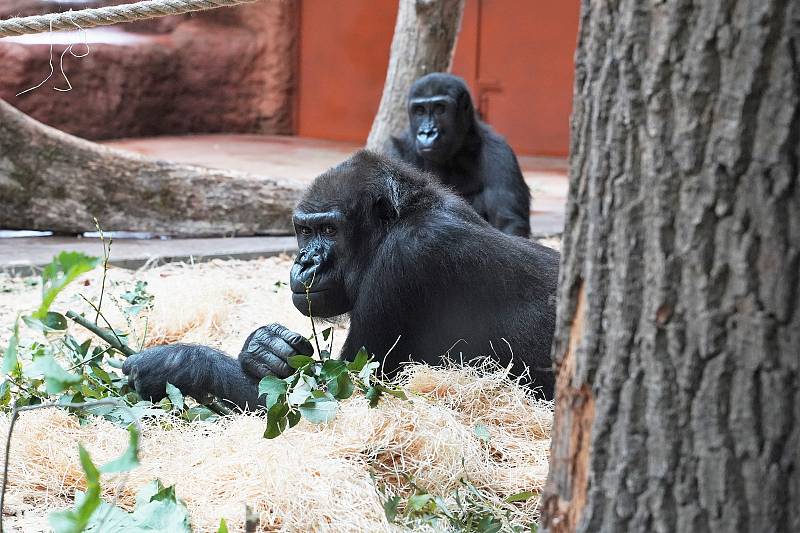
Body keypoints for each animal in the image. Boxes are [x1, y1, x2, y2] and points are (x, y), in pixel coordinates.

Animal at [125, 150, 560, 408]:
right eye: (304, 231)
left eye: (330, 231)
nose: (306, 262)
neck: (400, 219)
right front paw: (264, 347)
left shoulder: (406, 261)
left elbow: (336, 395)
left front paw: (176, 363)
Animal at [392, 72, 532, 237]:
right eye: (419, 111)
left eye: (440, 109)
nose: (427, 133)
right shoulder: (396, 148)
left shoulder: (500, 153)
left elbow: (508, 222)